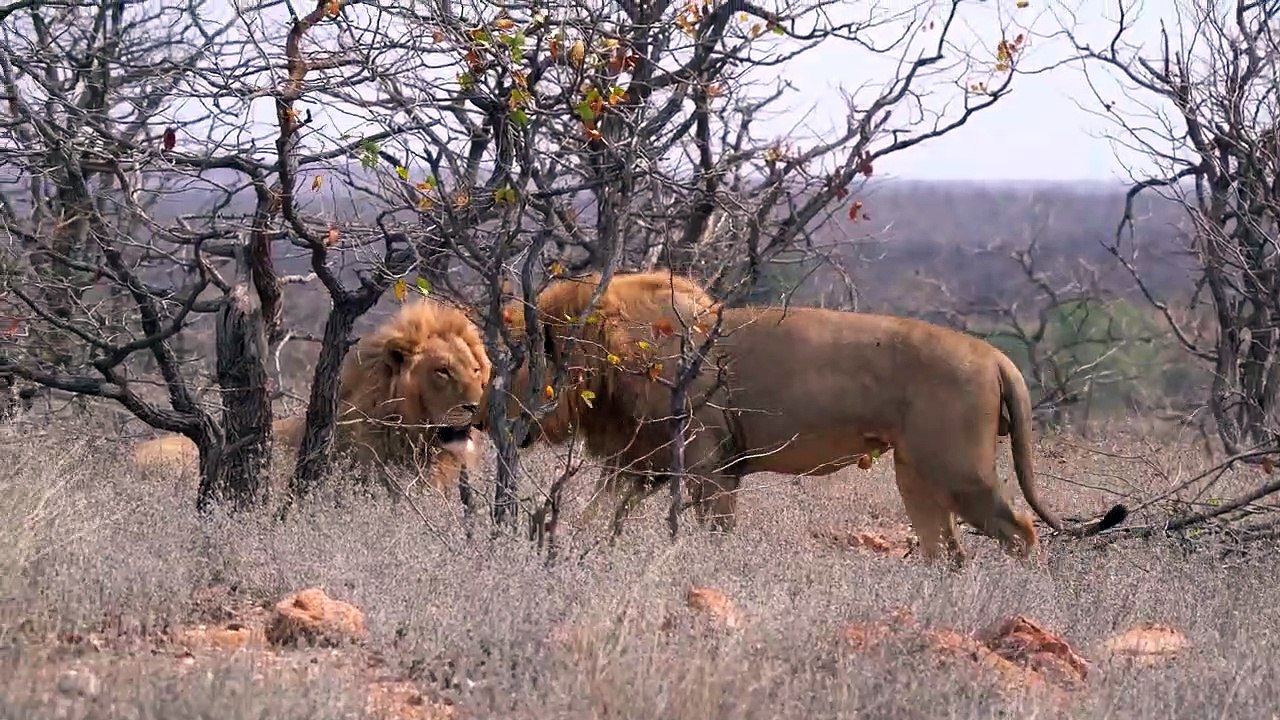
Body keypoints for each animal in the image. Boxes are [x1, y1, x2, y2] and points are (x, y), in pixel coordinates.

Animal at [476, 271, 1128, 566]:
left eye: (516, 365)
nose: (483, 418)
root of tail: (995, 356)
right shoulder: (644, 466)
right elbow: (594, 520)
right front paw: (565, 551)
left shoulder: (709, 466)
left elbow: (712, 534)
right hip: (916, 474)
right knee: (946, 550)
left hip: (959, 469)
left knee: (1022, 531)